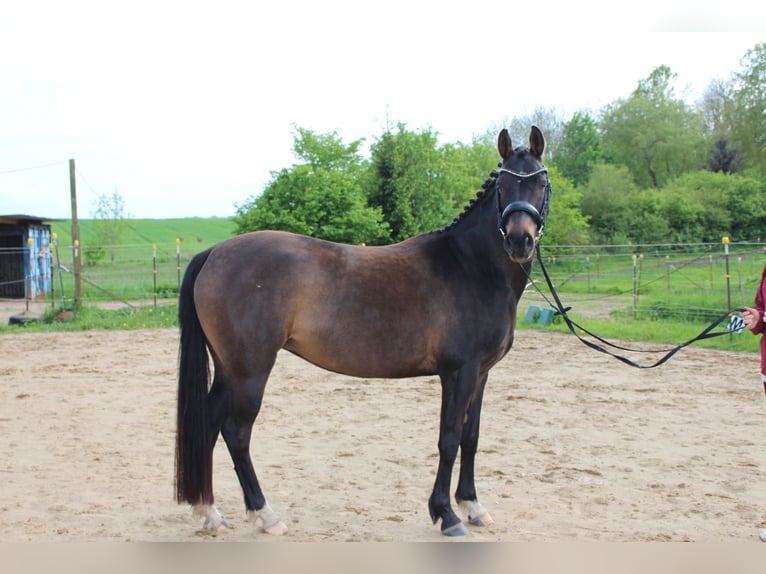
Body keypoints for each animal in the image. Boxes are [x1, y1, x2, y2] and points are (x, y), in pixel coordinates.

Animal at [176, 126, 552, 540]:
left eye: (541, 181)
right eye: (502, 184)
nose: (519, 240)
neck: (470, 266)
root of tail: (213, 253)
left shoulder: (481, 374)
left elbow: (471, 437)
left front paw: (472, 506)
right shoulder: (459, 372)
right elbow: (449, 438)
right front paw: (446, 514)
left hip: (228, 369)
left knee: (208, 425)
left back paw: (209, 512)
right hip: (249, 372)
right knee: (236, 432)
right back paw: (264, 515)